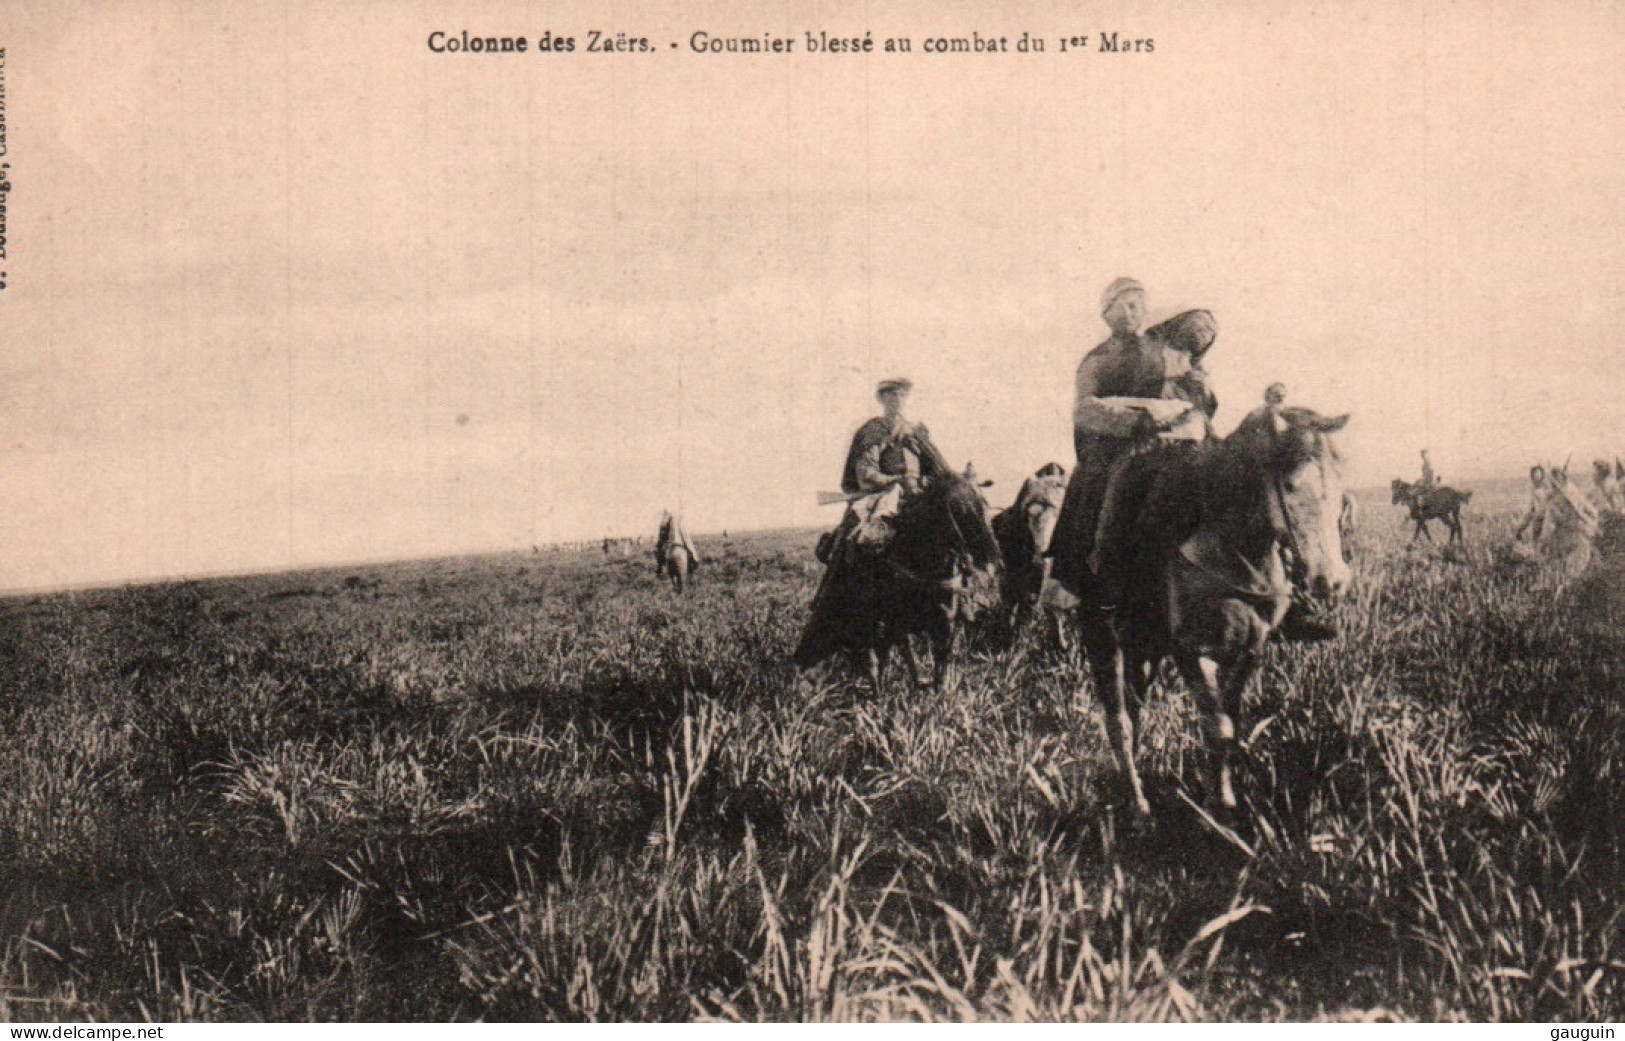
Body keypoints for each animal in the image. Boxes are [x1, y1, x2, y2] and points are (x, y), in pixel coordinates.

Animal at [789, 461, 1001, 688]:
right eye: (956, 508)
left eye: (984, 503)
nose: (992, 558)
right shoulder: (894, 619)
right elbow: (904, 654)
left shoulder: (947, 617)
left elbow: (942, 661)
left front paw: (938, 690)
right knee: (872, 655)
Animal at [1059, 404, 1352, 812]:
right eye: (1292, 485)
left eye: (1340, 487)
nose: (1332, 581)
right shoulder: (1188, 650)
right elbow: (1217, 726)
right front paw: (1219, 807)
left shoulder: (1247, 649)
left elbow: (1228, 726)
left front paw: (1222, 800)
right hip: (1099, 630)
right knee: (1119, 721)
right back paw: (1137, 804)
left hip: (1143, 647)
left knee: (1134, 709)